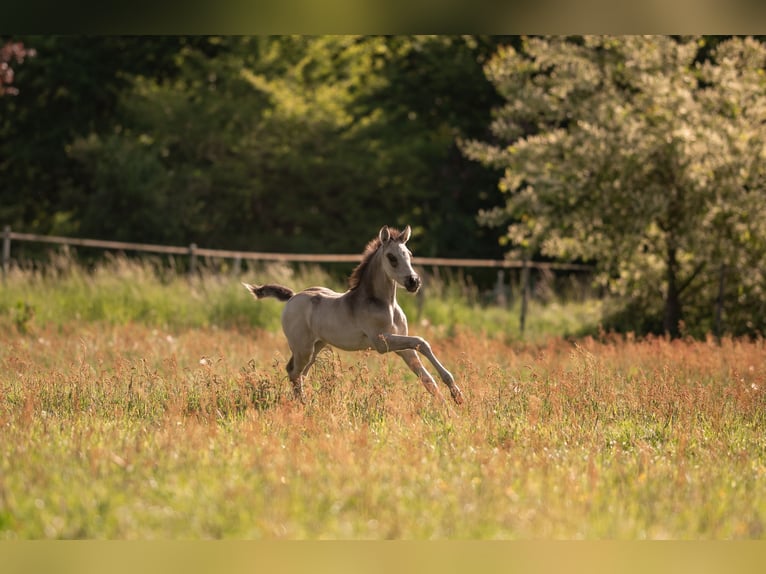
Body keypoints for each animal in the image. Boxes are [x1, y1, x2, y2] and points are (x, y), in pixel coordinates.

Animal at [242, 225, 464, 405]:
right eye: (392, 257)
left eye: (409, 254)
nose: (413, 282)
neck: (385, 304)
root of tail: (293, 297)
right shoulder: (381, 342)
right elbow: (421, 341)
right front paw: (456, 396)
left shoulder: (403, 346)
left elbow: (427, 376)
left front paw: (453, 402)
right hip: (303, 347)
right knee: (294, 373)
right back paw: (303, 406)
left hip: (316, 347)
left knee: (299, 373)